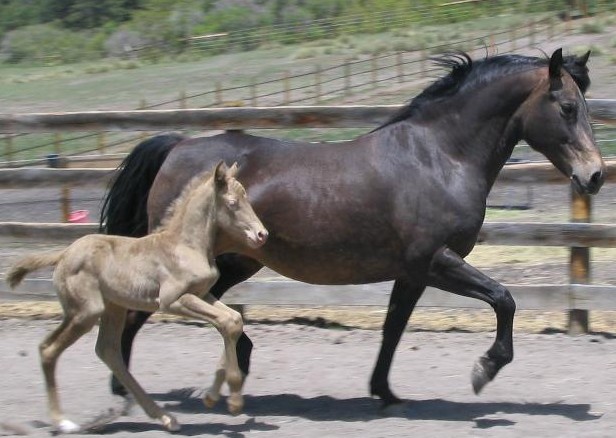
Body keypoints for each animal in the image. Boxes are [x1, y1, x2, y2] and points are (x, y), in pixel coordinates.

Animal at [101, 49, 600, 408]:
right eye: (567, 107)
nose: (594, 175)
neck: (439, 157)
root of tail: (177, 146)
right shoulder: (436, 260)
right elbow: (504, 298)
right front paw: (484, 370)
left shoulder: (413, 272)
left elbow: (393, 328)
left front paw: (384, 392)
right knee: (139, 312)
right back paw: (125, 388)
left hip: (235, 263)